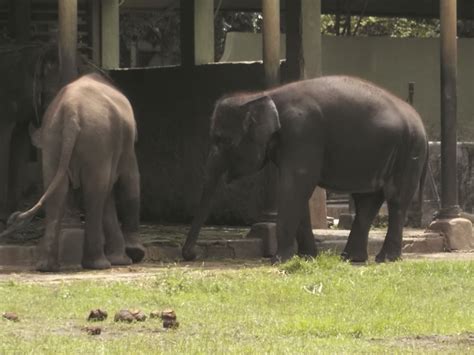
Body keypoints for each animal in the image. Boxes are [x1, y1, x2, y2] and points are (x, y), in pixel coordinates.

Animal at [0, 72, 144, 272]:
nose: (10, 219)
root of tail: (71, 111)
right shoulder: (125, 147)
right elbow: (130, 181)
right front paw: (133, 256)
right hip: (95, 138)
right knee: (95, 193)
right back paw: (99, 265)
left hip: (53, 138)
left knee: (59, 194)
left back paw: (48, 267)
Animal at [183, 76, 428, 264]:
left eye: (223, 140)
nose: (192, 255)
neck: (264, 95)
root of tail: (419, 119)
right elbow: (297, 190)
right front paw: (307, 257)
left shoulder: (302, 133)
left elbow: (295, 185)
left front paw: (278, 260)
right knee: (367, 201)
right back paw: (351, 259)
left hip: (409, 151)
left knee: (396, 200)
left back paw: (385, 259)